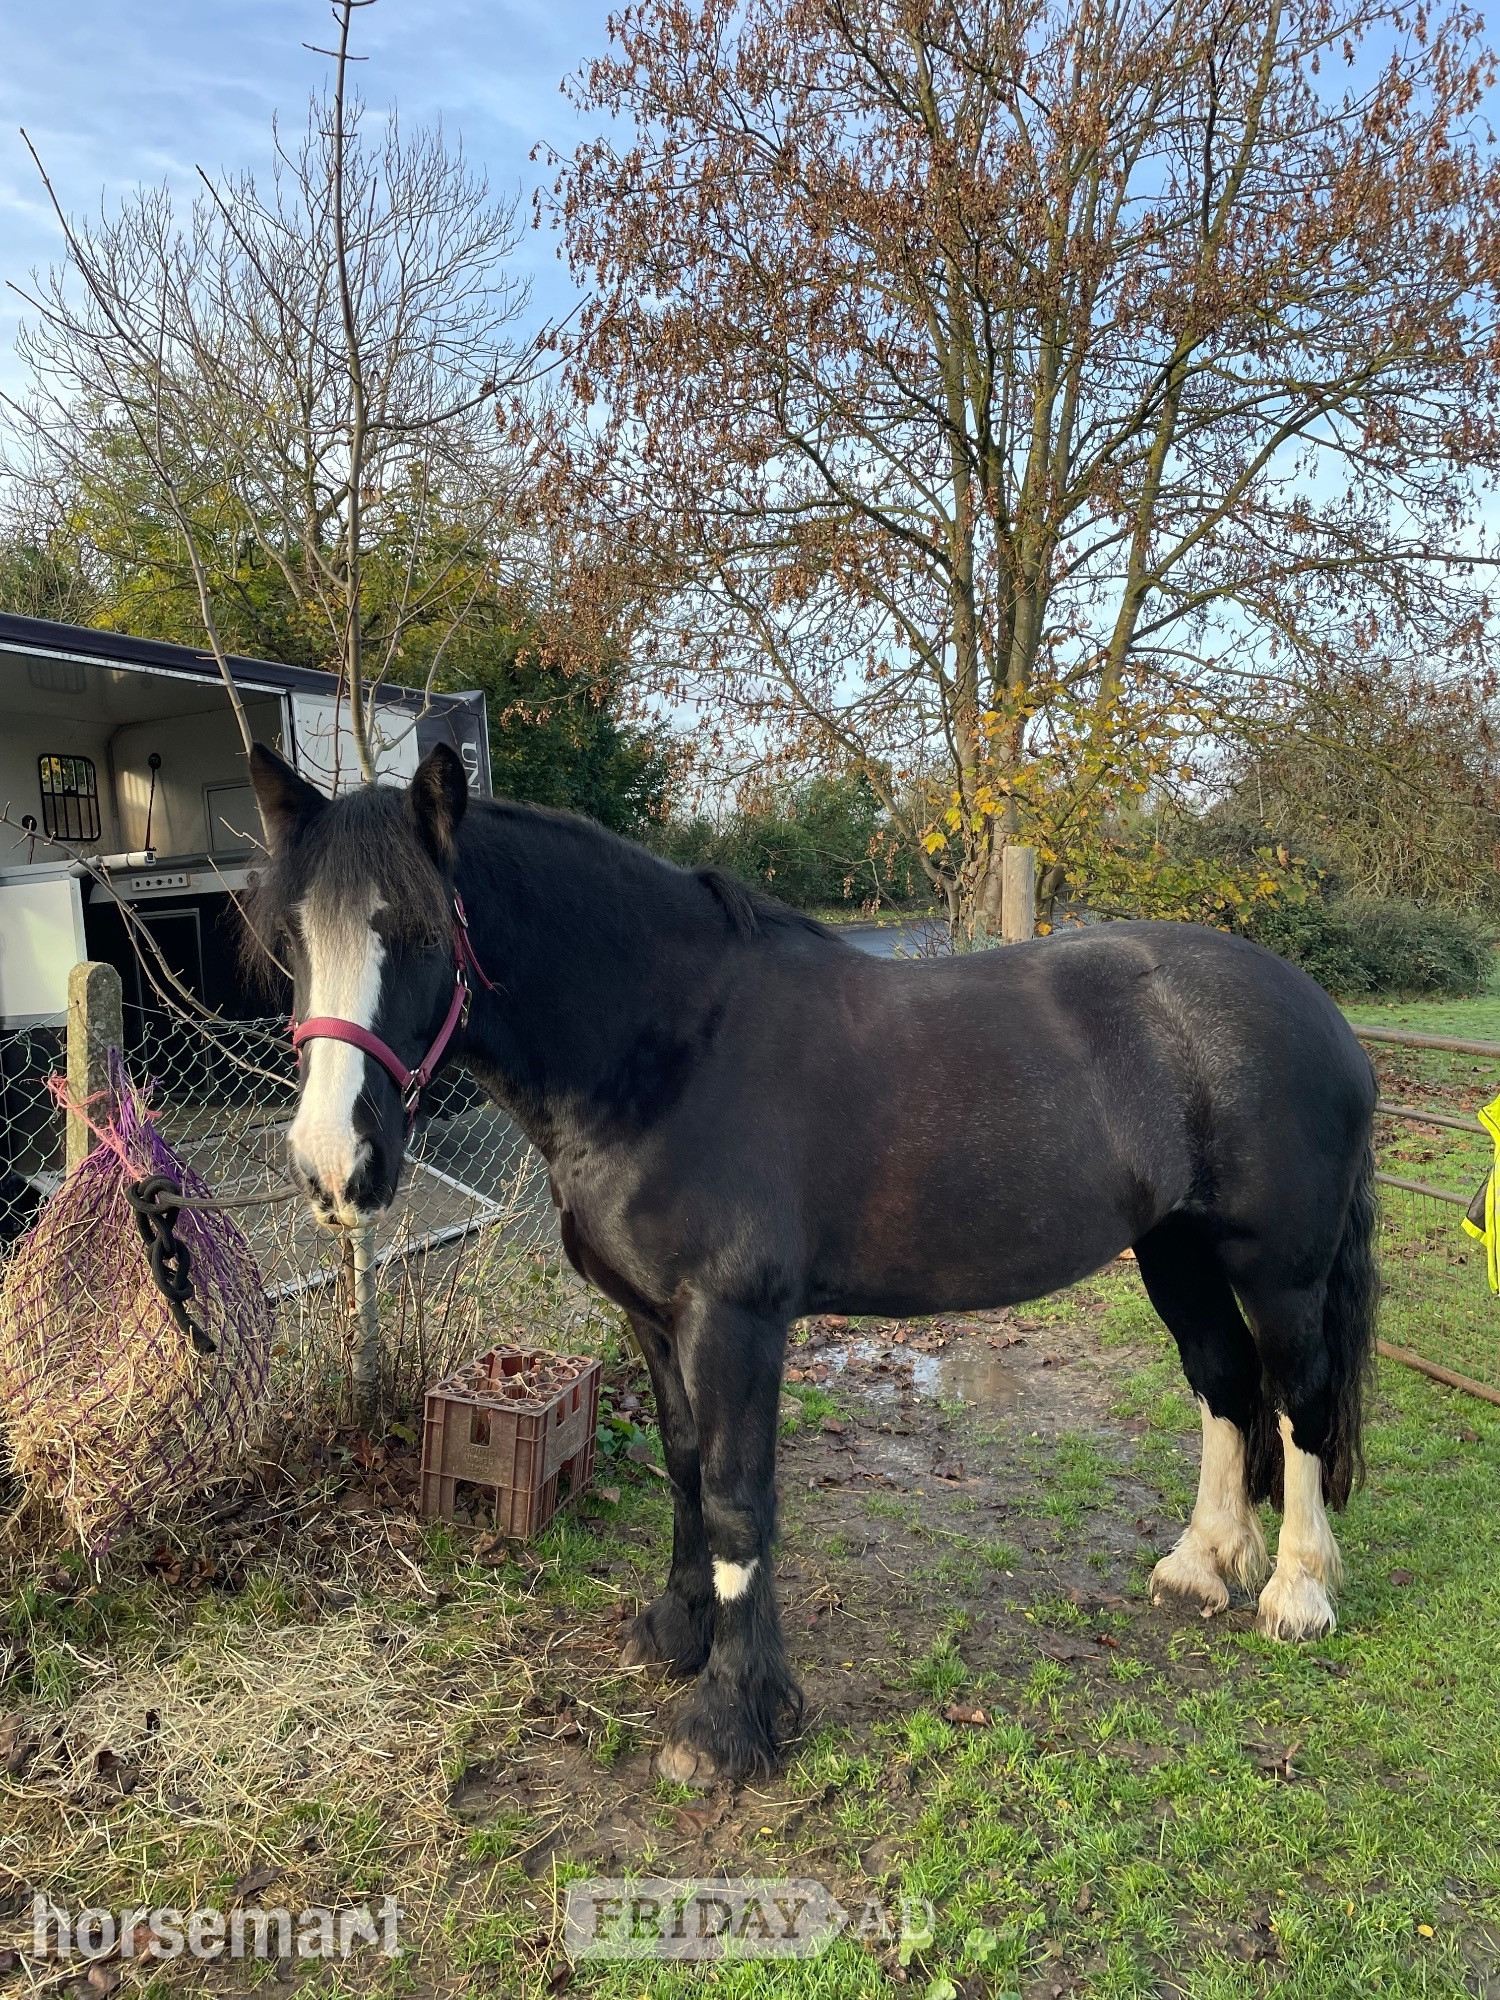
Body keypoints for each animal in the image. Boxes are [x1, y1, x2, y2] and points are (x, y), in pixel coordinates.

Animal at [246, 740, 1379, 1785]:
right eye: (291, 934)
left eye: (421, 929)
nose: (333, 1164)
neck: (669, 1050)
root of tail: (1314, 1008)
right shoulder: (650, 1317)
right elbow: (686, 1470)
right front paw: (677, 1635)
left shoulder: (734, 1320)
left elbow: (740, 1500)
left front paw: (730, 1721)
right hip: (1173, 1250)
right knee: (1225, 1384)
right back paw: (1202, 1566)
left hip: (1279, 1272)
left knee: (1298, 1401)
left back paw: (1296, 1591)